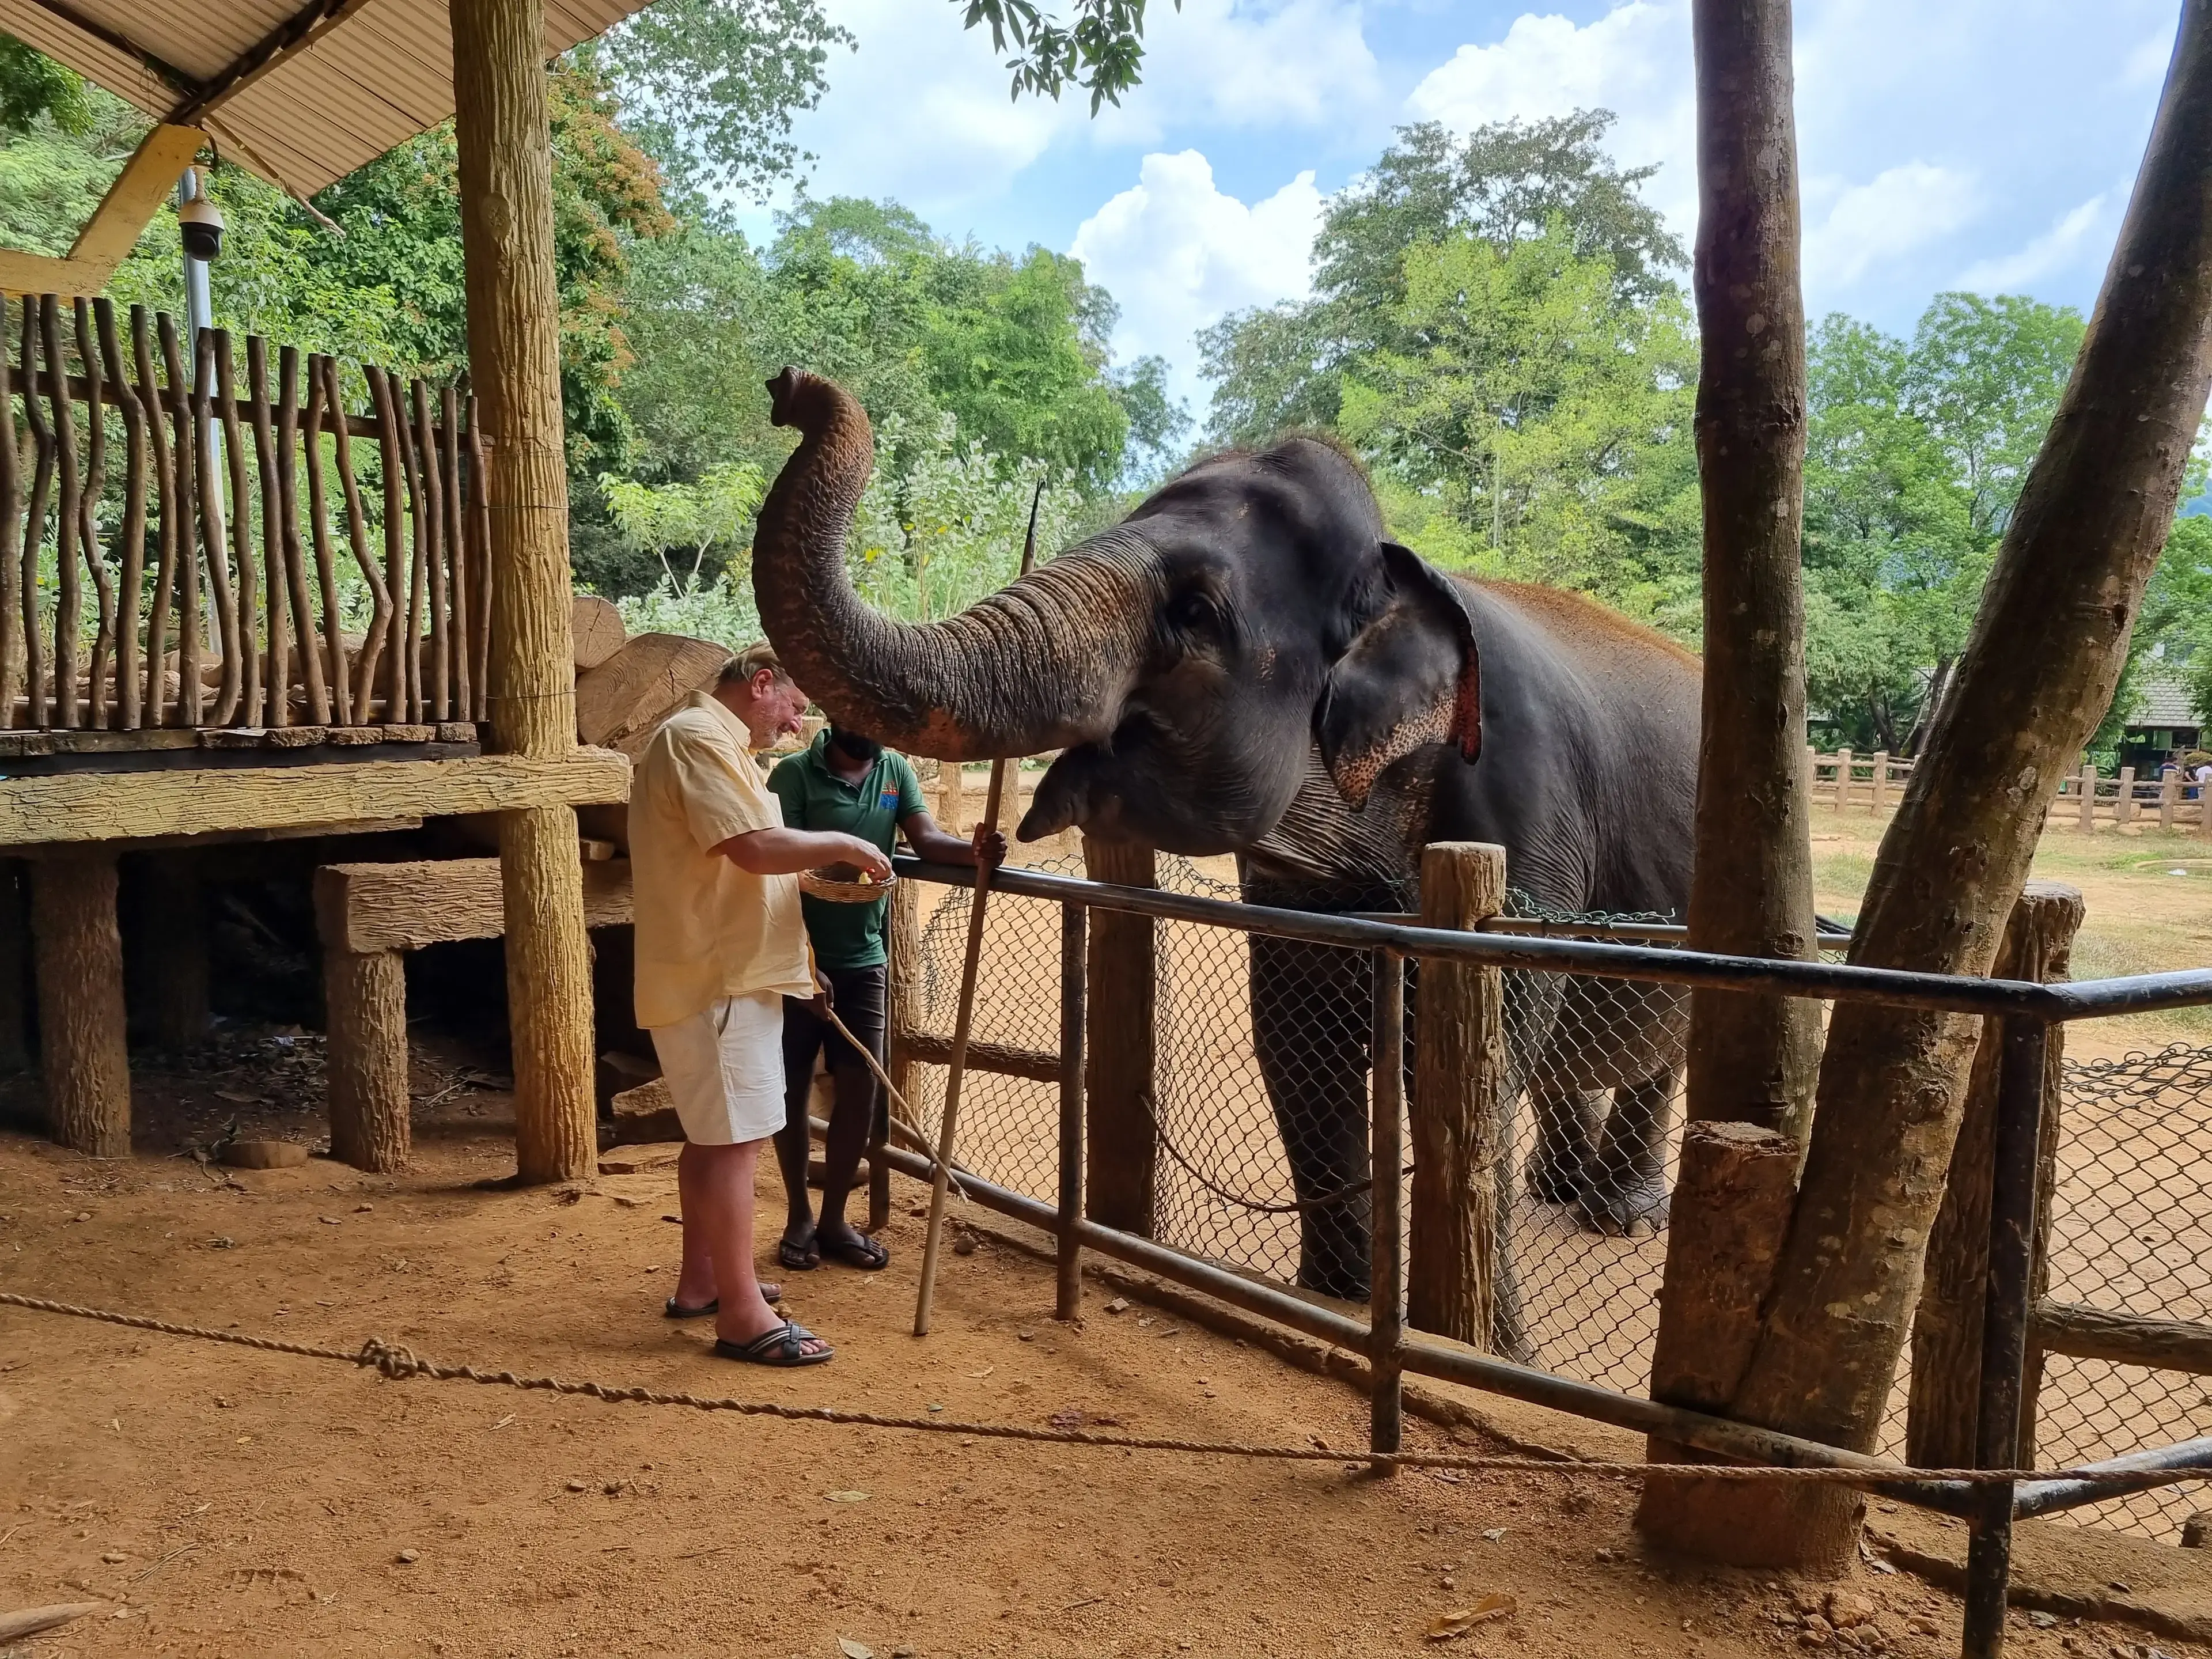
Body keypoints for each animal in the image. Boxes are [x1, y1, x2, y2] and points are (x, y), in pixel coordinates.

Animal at [752, 367, 1699, 1333]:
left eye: (1196, 612)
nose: (789, 389)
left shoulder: (1522, 834)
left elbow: (1479, 1062)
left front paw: (1488, 1342)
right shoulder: (1290, 892)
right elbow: (1295, 1044)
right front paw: (1334, 1299)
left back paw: (1619, 1216)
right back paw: (1561, 1191)